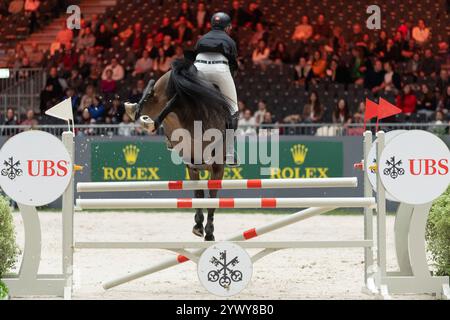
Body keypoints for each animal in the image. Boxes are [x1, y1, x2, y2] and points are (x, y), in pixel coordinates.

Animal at [124, 58, 234, 240]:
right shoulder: (216, 168)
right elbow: (209, 198)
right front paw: (207, 231)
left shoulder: (194, 167)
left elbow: (199, 195)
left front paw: (200, 226)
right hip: (193, 118)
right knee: (175, 101)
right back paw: (151, 120)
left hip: (159, 96)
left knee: (154, 93)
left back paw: (137, 110)